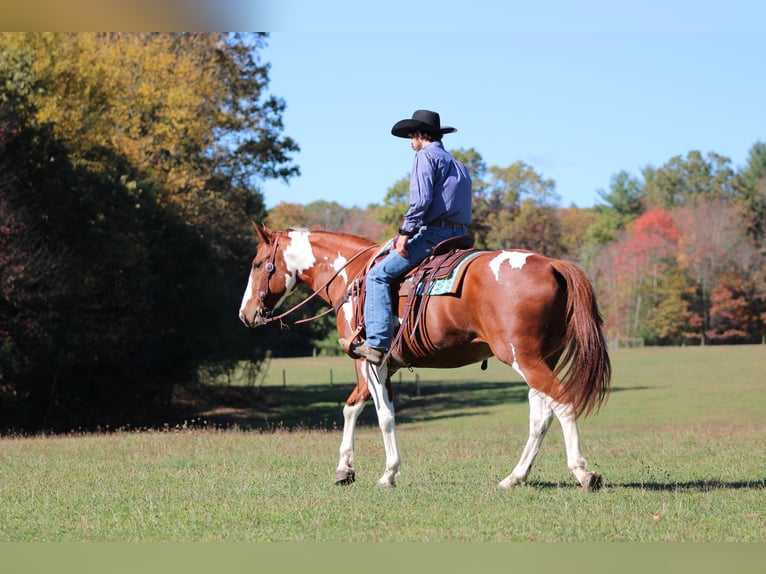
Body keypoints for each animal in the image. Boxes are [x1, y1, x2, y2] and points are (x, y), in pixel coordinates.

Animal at [238, 223, 611, 490]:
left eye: (257, 264)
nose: (245, 314)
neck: (353, 277)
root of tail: (551, 264)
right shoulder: (376, 365)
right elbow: (352, 408)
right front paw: (345, 468)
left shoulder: (370, 362)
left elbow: (384, 417)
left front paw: (388, 473)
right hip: (541, 359)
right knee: (541, 416)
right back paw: (514, 477)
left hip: (525, 359)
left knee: (562, 403)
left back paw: (583, 473)